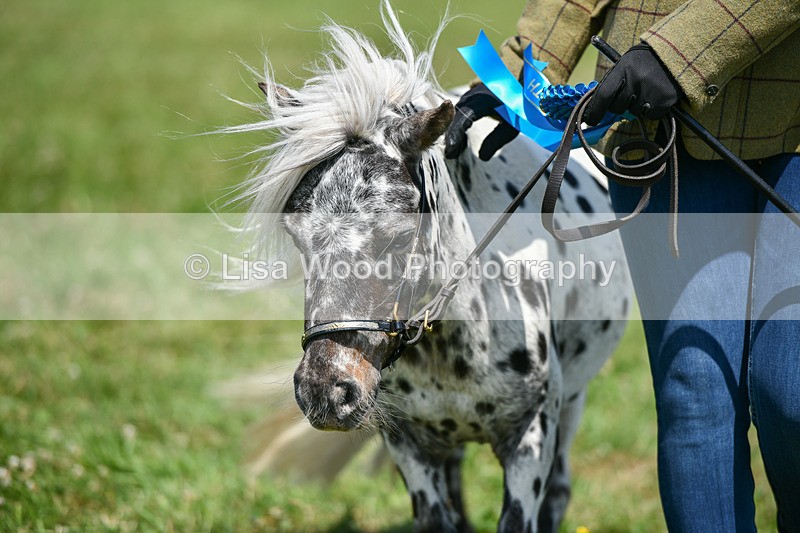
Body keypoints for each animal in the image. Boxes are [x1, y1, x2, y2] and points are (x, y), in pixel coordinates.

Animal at [225, 4, 632, 531]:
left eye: (399, 235)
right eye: (298, 237)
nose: (327, 392)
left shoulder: (529, 442)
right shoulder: (412, 448)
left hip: (572, 406)